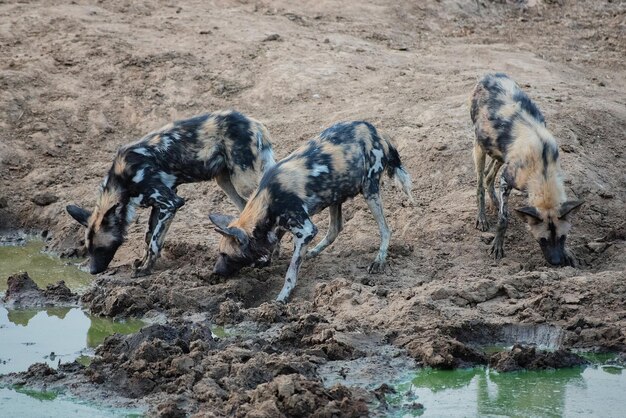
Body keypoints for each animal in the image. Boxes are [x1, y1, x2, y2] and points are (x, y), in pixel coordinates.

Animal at [66, 109, 276, 276]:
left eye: (101, 249)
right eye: (89, 249)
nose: (93, 271)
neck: (122, 180)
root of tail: (255, 122)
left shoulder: (170, 202)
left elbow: (154, 243)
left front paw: (145, 270)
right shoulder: (160, 204)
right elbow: (149, 237)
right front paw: (142, 263)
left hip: (244, 183)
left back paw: (267, 259)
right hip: (226, 181)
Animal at [210, 120, 412, 300]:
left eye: (225, 254)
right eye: (220, 252)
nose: (215, 272)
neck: (267, 201)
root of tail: (376, 131)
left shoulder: (306, 230)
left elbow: (291, 272)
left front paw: (282, 297)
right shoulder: (284, 225)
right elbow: (275, 244)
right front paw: (269, 259)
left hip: (369, 191)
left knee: (385, 229)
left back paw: (378, 261)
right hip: (335, 194)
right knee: (335, 229)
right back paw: (312, 252)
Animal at [470, 73, 584, 266]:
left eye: (562, 238)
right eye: (542, 240)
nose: (556, 262)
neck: (543, 167)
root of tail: (490, 75)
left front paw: (568, 253)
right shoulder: (506, 180)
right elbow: (503, 219)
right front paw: (497, 246)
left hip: (500, 154)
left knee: (488, 176)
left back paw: (495, 202)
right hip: (481, 147)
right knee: (479, 184)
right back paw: (482, 218)